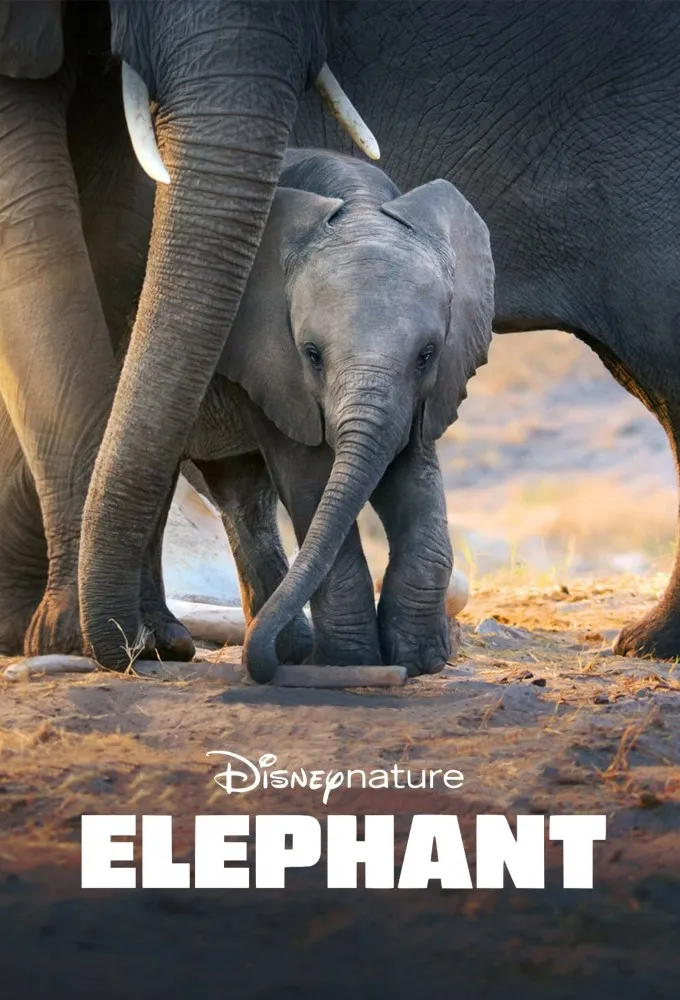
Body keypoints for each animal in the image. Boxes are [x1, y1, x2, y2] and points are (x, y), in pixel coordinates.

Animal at [181, 148, 493, 681]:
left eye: (427, 355)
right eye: (312, 355)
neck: (359, 203)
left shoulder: (425, 393)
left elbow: (413, 476)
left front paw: (421, 661)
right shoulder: (269, 359)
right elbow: (310, 479)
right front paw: (351, 663)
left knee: (240, 494)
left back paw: (288, 651)